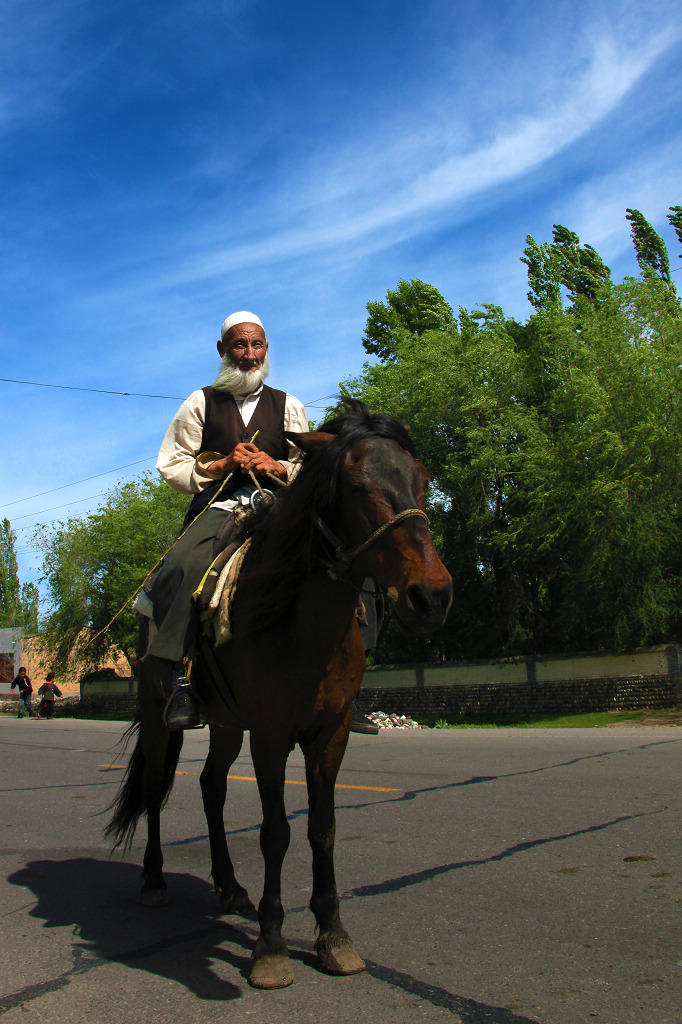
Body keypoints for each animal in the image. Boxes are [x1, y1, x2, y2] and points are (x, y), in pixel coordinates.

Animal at [106, 395, 450, 987]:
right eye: (355, 484)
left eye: (422, 478)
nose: (430, 595)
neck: (298, 619)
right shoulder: (270, 734)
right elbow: (274, 832)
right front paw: (270, 947)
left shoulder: (329, 733)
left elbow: (322, 828)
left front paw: (333, 935)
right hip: (156, 714)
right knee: (154, 787)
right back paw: (153, 881)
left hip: (224, 722)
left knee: (211, 787)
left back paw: (229, 886)